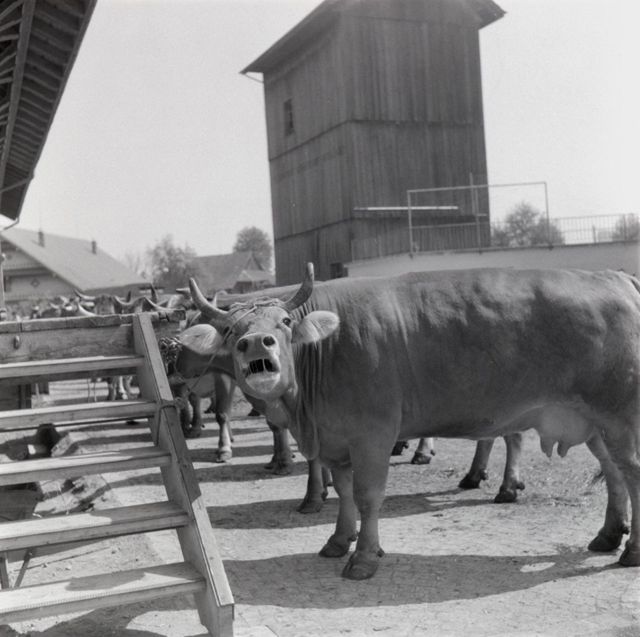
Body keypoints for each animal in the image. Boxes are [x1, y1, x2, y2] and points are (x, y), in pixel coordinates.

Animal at [177, 265, 640, 580]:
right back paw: (608, 535)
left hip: (620, 417)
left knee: (631, 472)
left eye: (284, 323)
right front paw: (339, 540)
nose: (257, 343)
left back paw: (631, 550)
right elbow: (343, 493)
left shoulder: (372, 435)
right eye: (231, 329)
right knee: (615, 473)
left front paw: (364, 557)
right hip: (596, 424)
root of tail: (616, 277)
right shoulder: (336, 440)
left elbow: (367, 496)